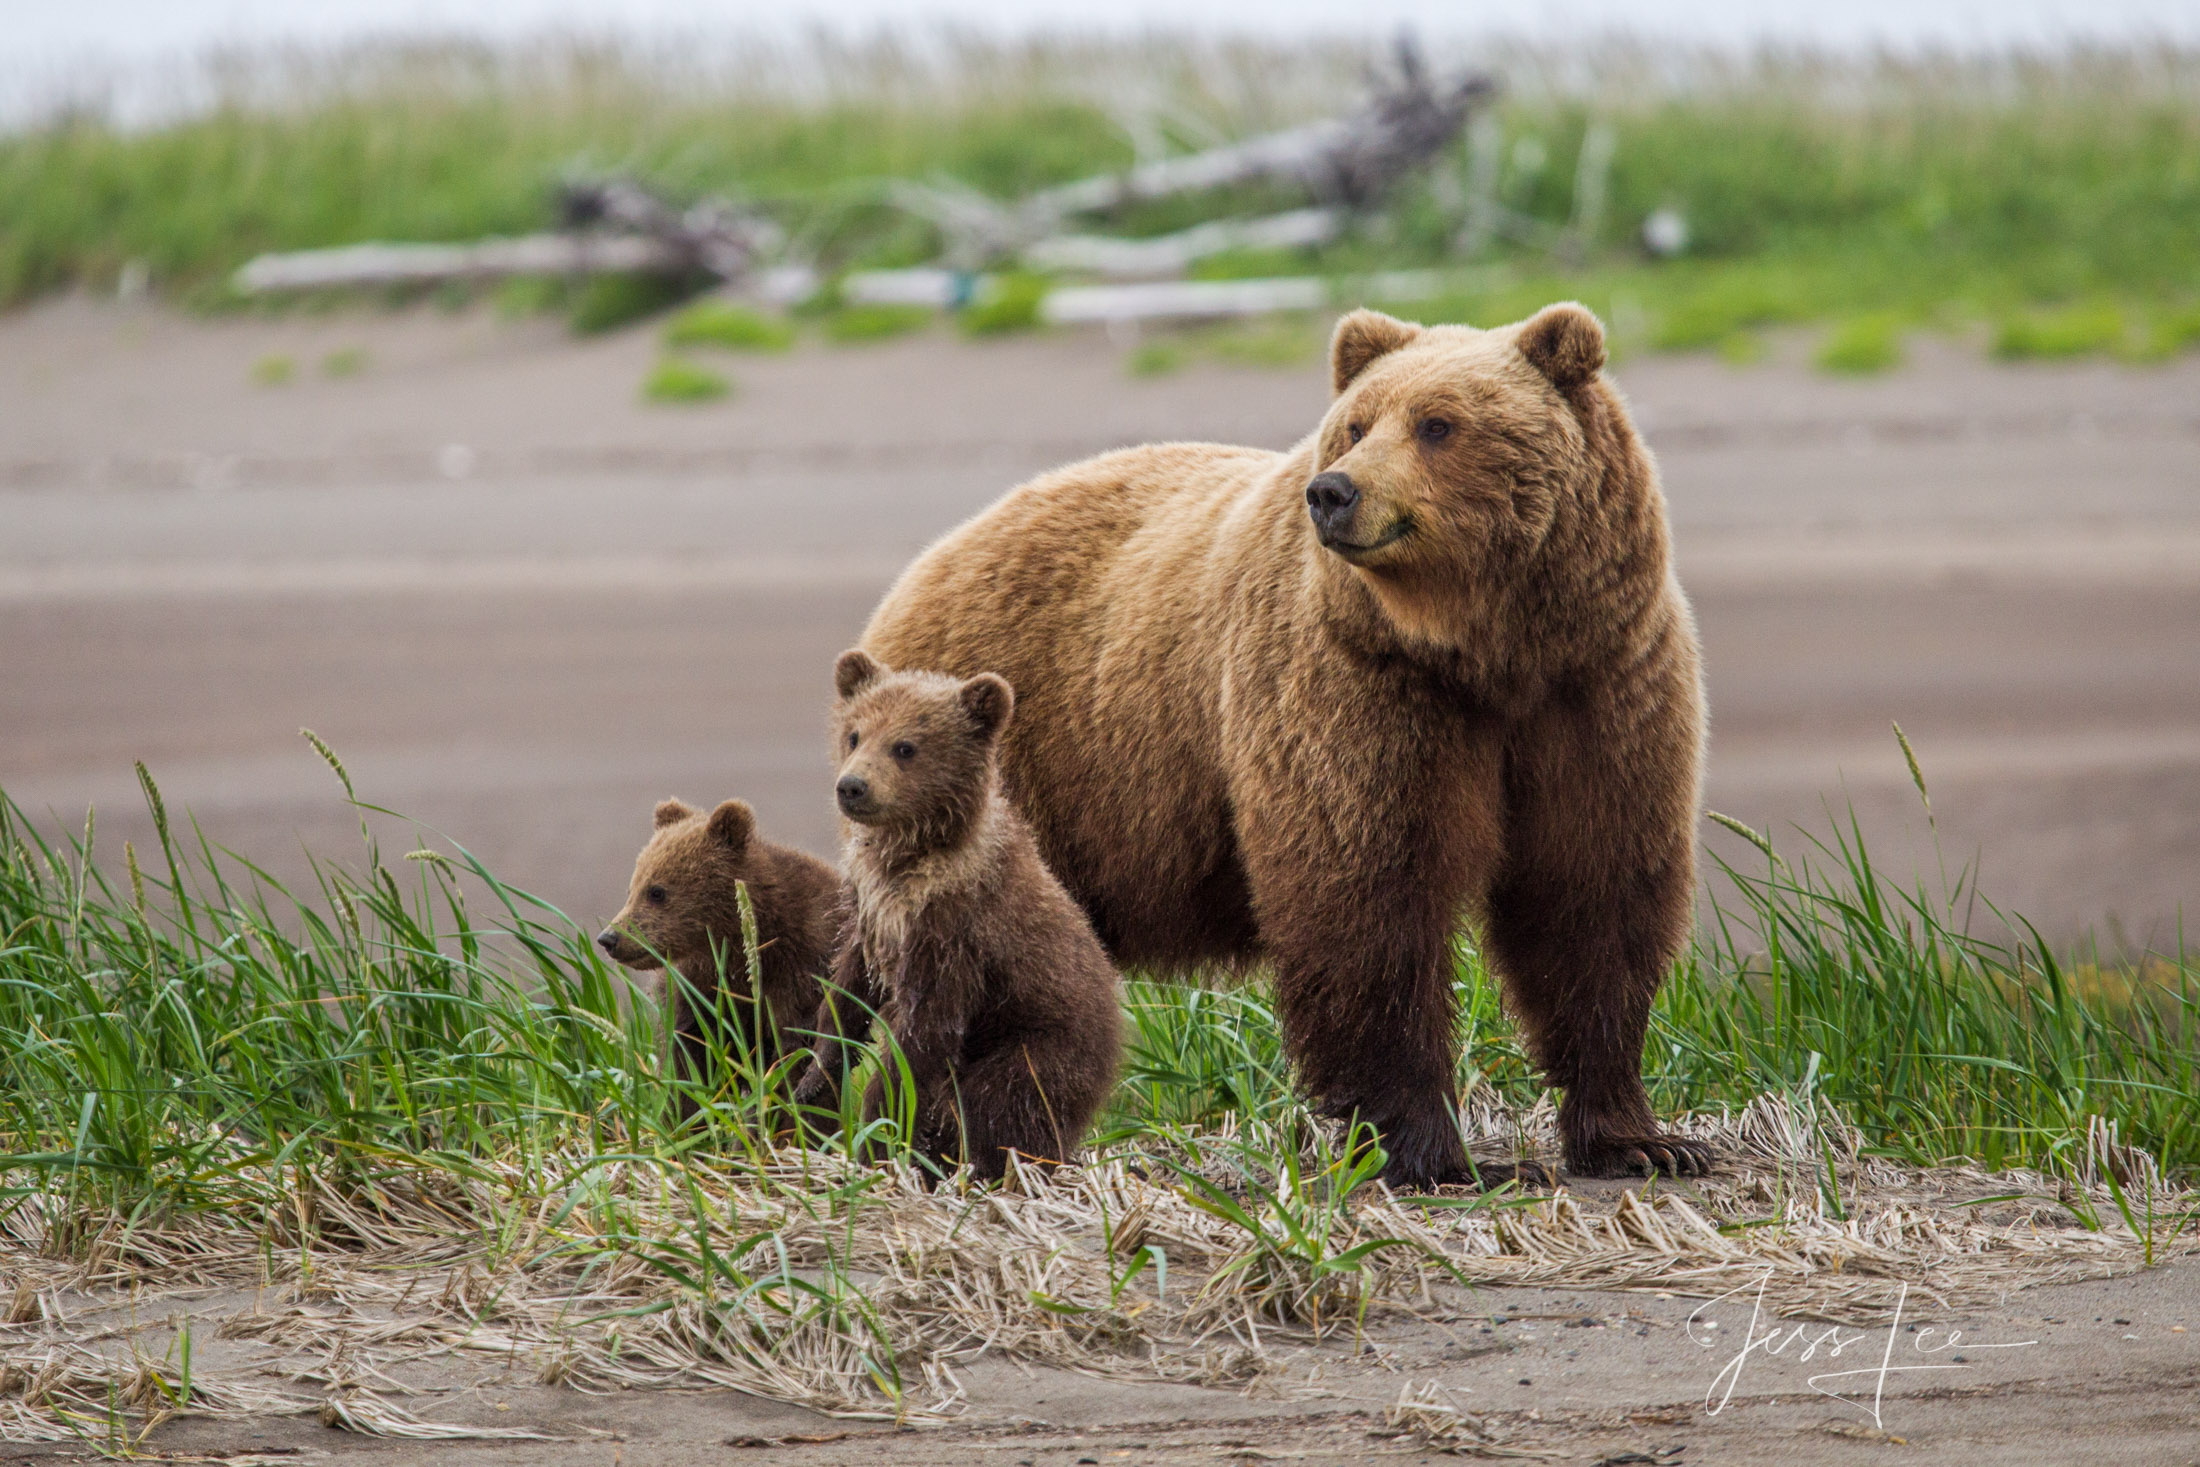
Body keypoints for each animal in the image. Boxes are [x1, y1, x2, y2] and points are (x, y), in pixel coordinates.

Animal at [866, 303, 1707, 1187]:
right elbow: (1366, 895)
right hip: (1021, 766)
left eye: (1438, 423)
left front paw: (1641, 1136)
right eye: (1356, 425)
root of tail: (924, 566)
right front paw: (1440, 1153)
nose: (1334, 491)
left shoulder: (1598, 686)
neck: (1484, 654)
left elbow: (1593, 893)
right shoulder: (1357, 687)